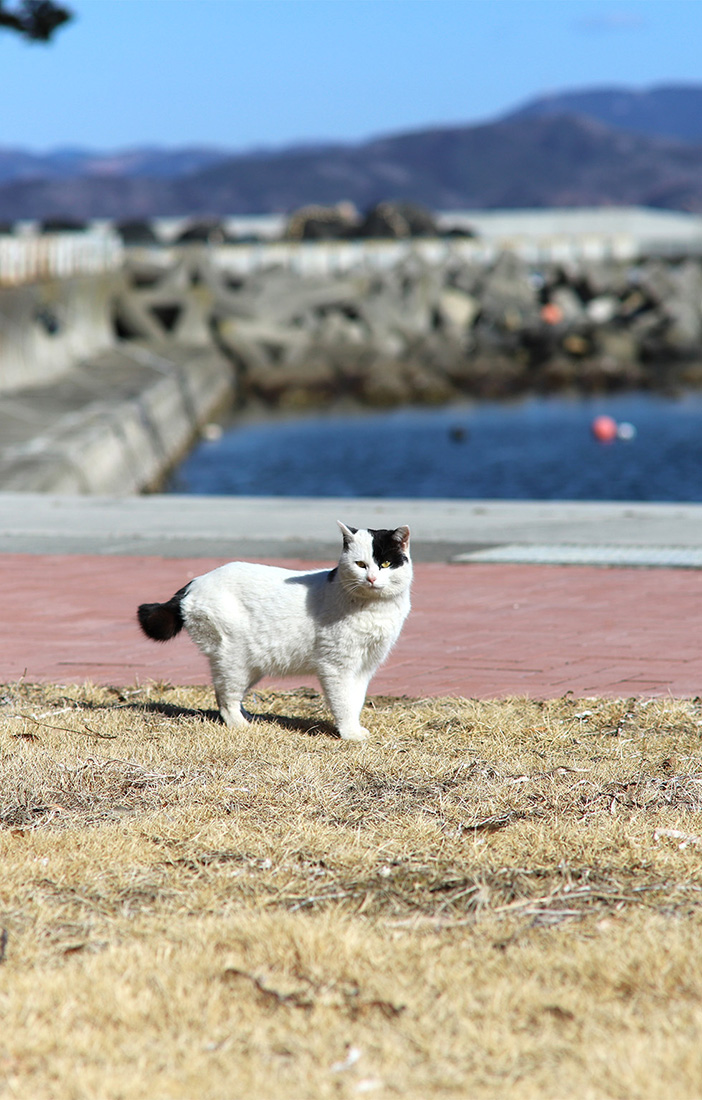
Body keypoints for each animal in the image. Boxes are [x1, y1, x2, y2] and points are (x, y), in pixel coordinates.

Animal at [136, 521, 413, 743]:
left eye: (385, 564)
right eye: (361, 565)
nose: (372, 579)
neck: (374, 608)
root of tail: (195, 582)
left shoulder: (366, 666)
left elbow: (357, 700)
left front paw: (355, 729)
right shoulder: (337, 666)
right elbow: (344, 701)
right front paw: (350, 734)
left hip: (250, 665)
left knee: (223, 691)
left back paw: (249, 716)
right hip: (233, 659)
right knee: (225, 698)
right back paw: (241, 725)